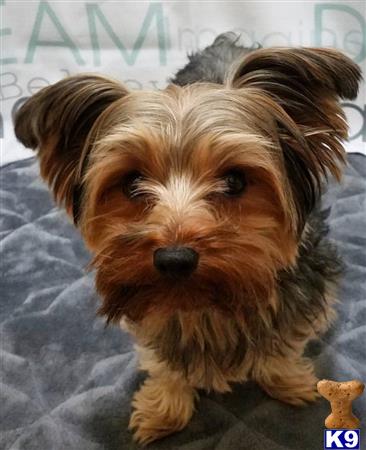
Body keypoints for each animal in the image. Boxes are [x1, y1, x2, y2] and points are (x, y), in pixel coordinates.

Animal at [13, 33, 360, 444]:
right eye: (132, 182)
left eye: (235, 180)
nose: (174, 259)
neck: (203, 305)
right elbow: (164, 359)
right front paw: (164, 407)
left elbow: (284, 341)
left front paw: (287, 380)